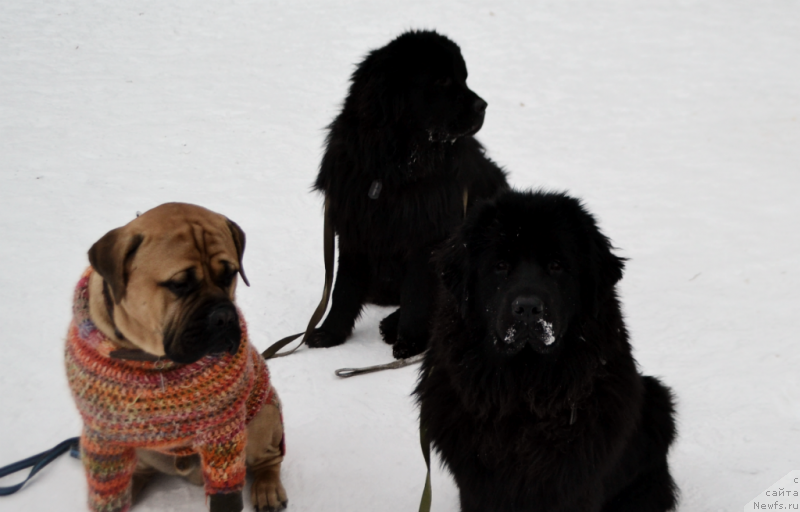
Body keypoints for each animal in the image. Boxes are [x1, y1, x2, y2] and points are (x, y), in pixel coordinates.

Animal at [306, 31, 506, 360]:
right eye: (442, 81)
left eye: (463, 78)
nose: (483, 106)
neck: (391, 167)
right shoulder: (354, 226)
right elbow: (343, 288)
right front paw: (330, 332)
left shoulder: (426, 238)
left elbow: (417, 294)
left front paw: (410, 342)